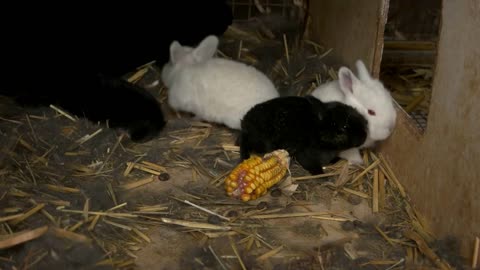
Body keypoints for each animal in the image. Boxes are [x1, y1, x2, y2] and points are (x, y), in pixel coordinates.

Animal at [239, 96, 368, 174]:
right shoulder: (305, 154)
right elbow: (312, 165)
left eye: (359, 116)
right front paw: (320, 174)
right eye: (342, 129)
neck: (317, 128)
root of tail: (245, 123)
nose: (364, 137)